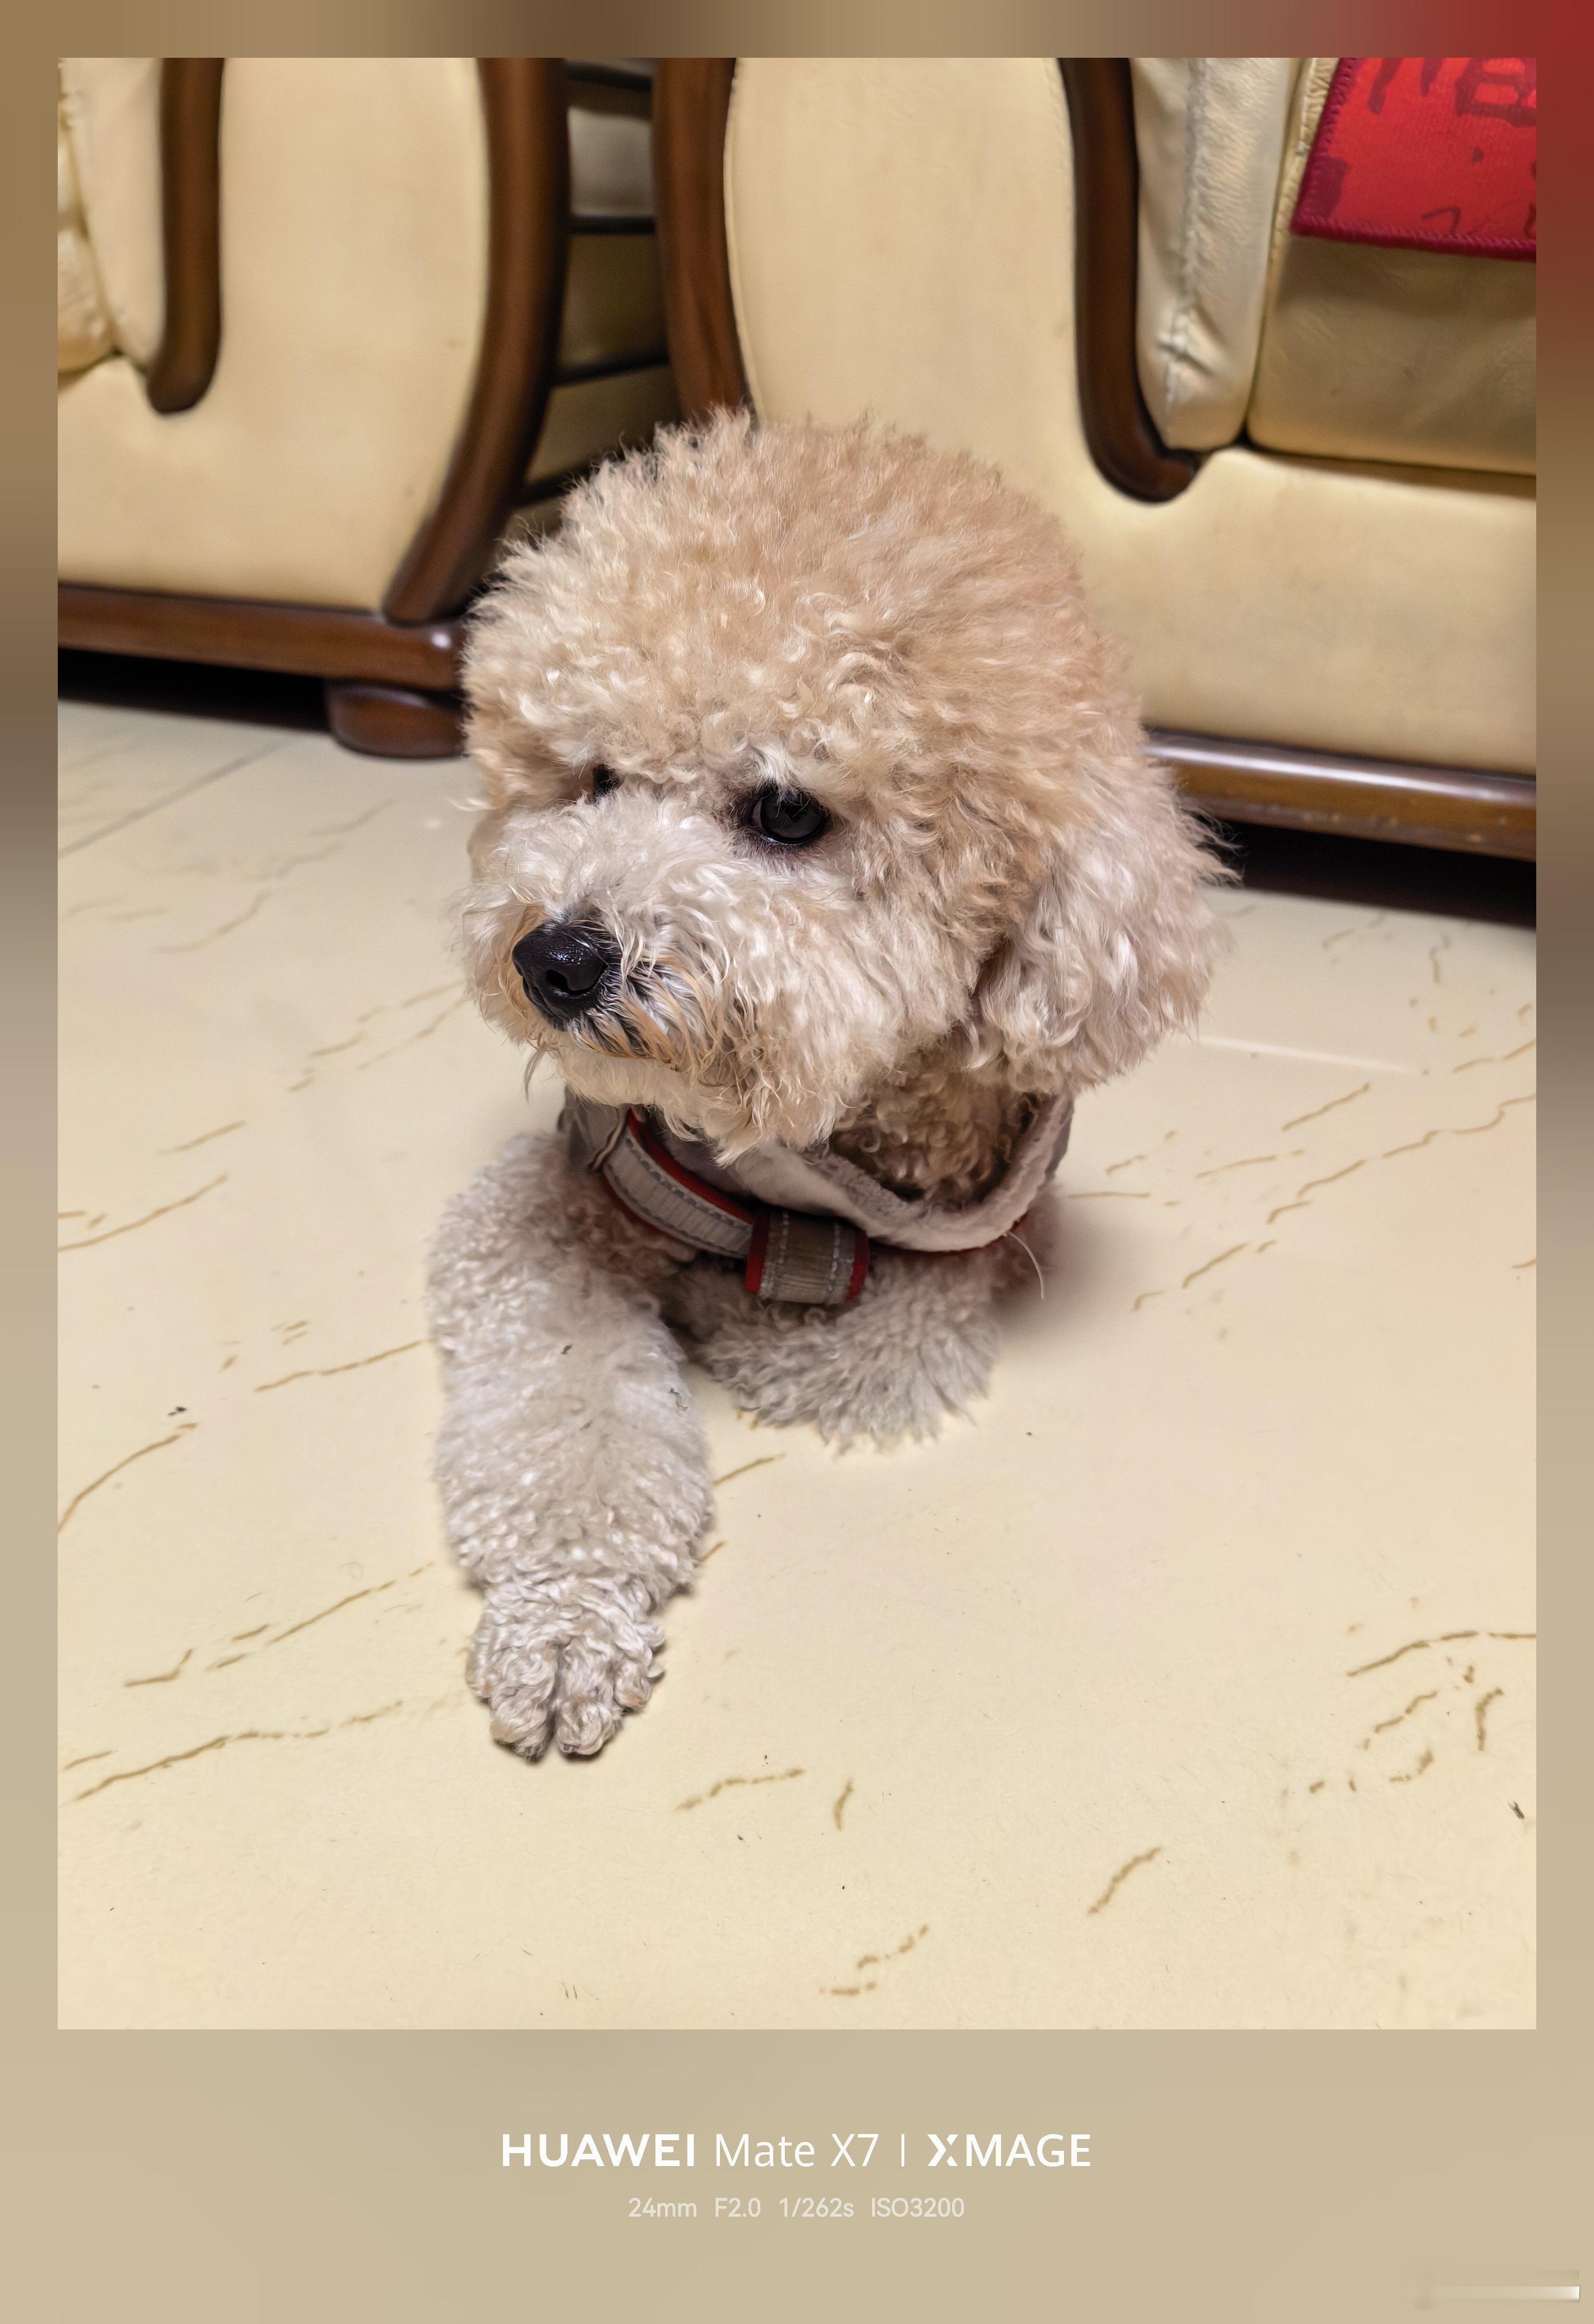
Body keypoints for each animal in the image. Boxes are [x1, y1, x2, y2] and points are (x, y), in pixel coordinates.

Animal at [427, 413, 1220, 1760]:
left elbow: (843, 1346)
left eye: (788, 812)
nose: (556, 958)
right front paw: (566, 1620)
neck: (812, 1142)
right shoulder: (553, 1198)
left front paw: (726, 1306)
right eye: (595, 778)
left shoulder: (963, 1248)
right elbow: (570, 1417)